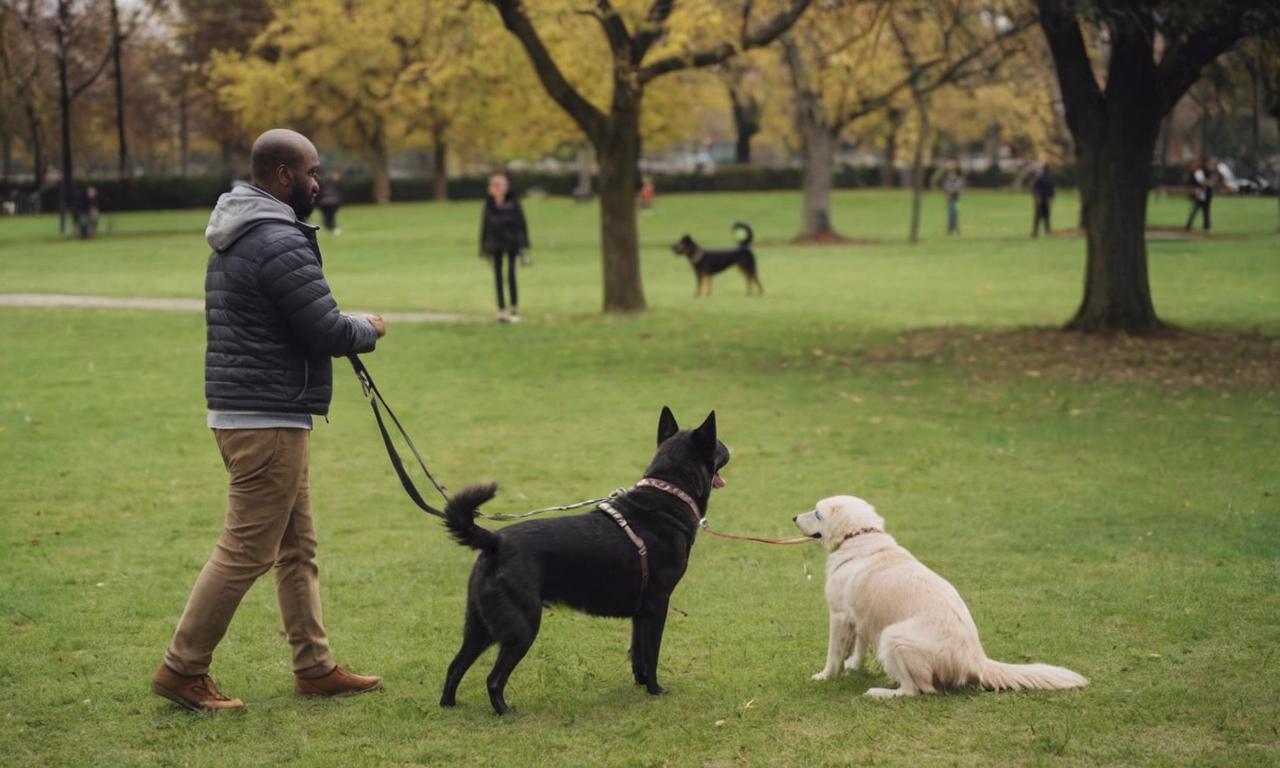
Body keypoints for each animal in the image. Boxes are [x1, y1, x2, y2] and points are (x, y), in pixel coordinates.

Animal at [437, 407, 727, 711]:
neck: (668, 495)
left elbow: (638, 653)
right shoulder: (657, 604)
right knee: (493, 679)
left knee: (454, 666)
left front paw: (640, 683)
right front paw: (655, 690)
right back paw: (505, 712)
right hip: (522, 627)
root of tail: (495, 541)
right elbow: (651, 654)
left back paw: (449, 705)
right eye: (718, 444)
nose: (729, 448)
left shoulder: (640, 613)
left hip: (479, 626)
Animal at [793, 494, 1085, 701]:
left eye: (817, 513)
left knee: (918, 690)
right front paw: (854, 667)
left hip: (893, 636)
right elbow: (858, 649)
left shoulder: (839, 616)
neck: (859, 537)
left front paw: (825, 676)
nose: (794, 517)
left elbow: (834, 655)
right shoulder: (860, 617)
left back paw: (881, 693)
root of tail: (976, 659)